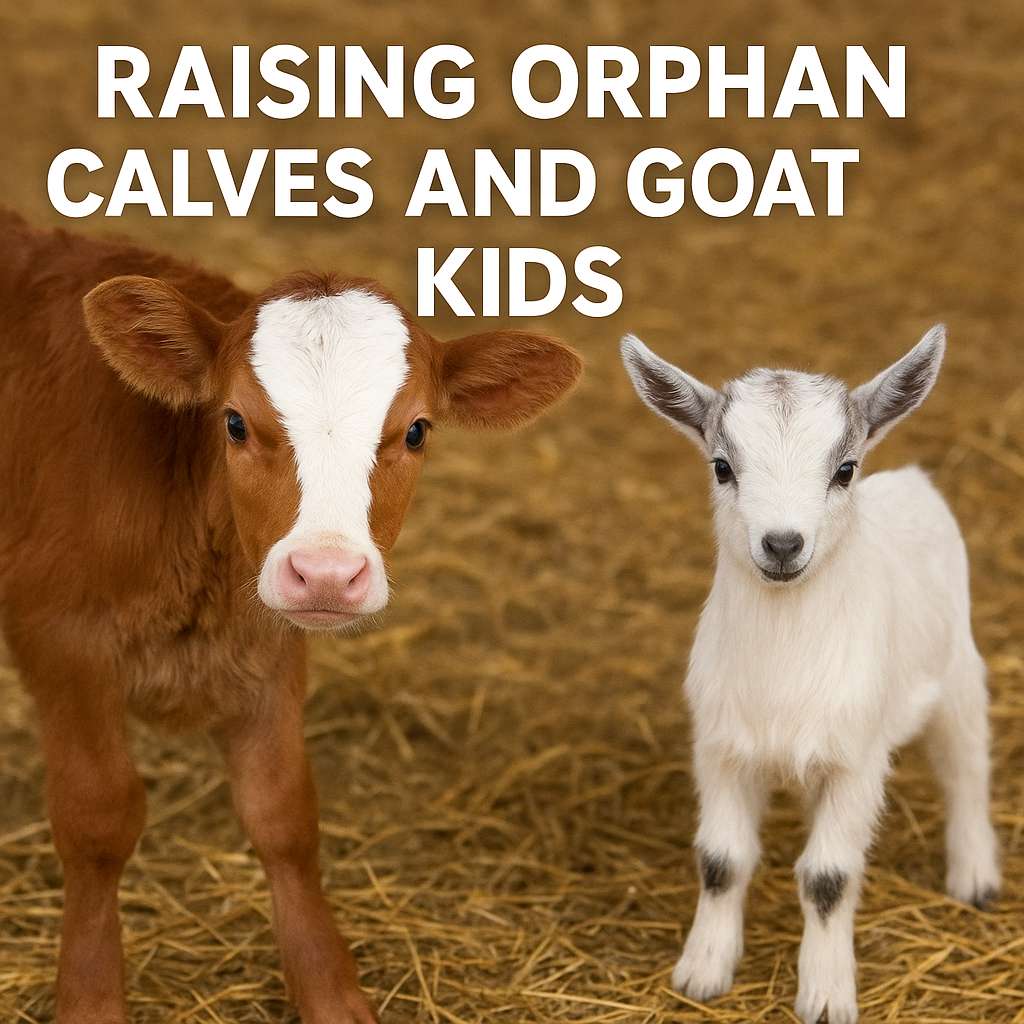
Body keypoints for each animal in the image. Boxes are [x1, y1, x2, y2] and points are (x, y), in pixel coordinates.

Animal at [0, 209, 582, 1024]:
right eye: (235, 422)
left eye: (417, 430)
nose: (328, 573)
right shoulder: (61, 641)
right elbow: (97, 820)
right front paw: (89, 1000)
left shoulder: (270, 653)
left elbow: (284, 816)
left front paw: (333, 996)